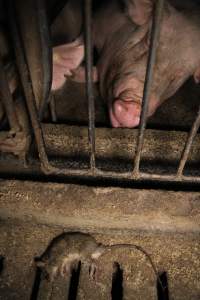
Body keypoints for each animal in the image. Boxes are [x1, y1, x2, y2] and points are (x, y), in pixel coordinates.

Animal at [51, 0, 200, 127]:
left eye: (179, 76)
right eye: (148, 41)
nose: (134, 107)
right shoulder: (97, 21)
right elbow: (83, 43)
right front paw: (72, 71)